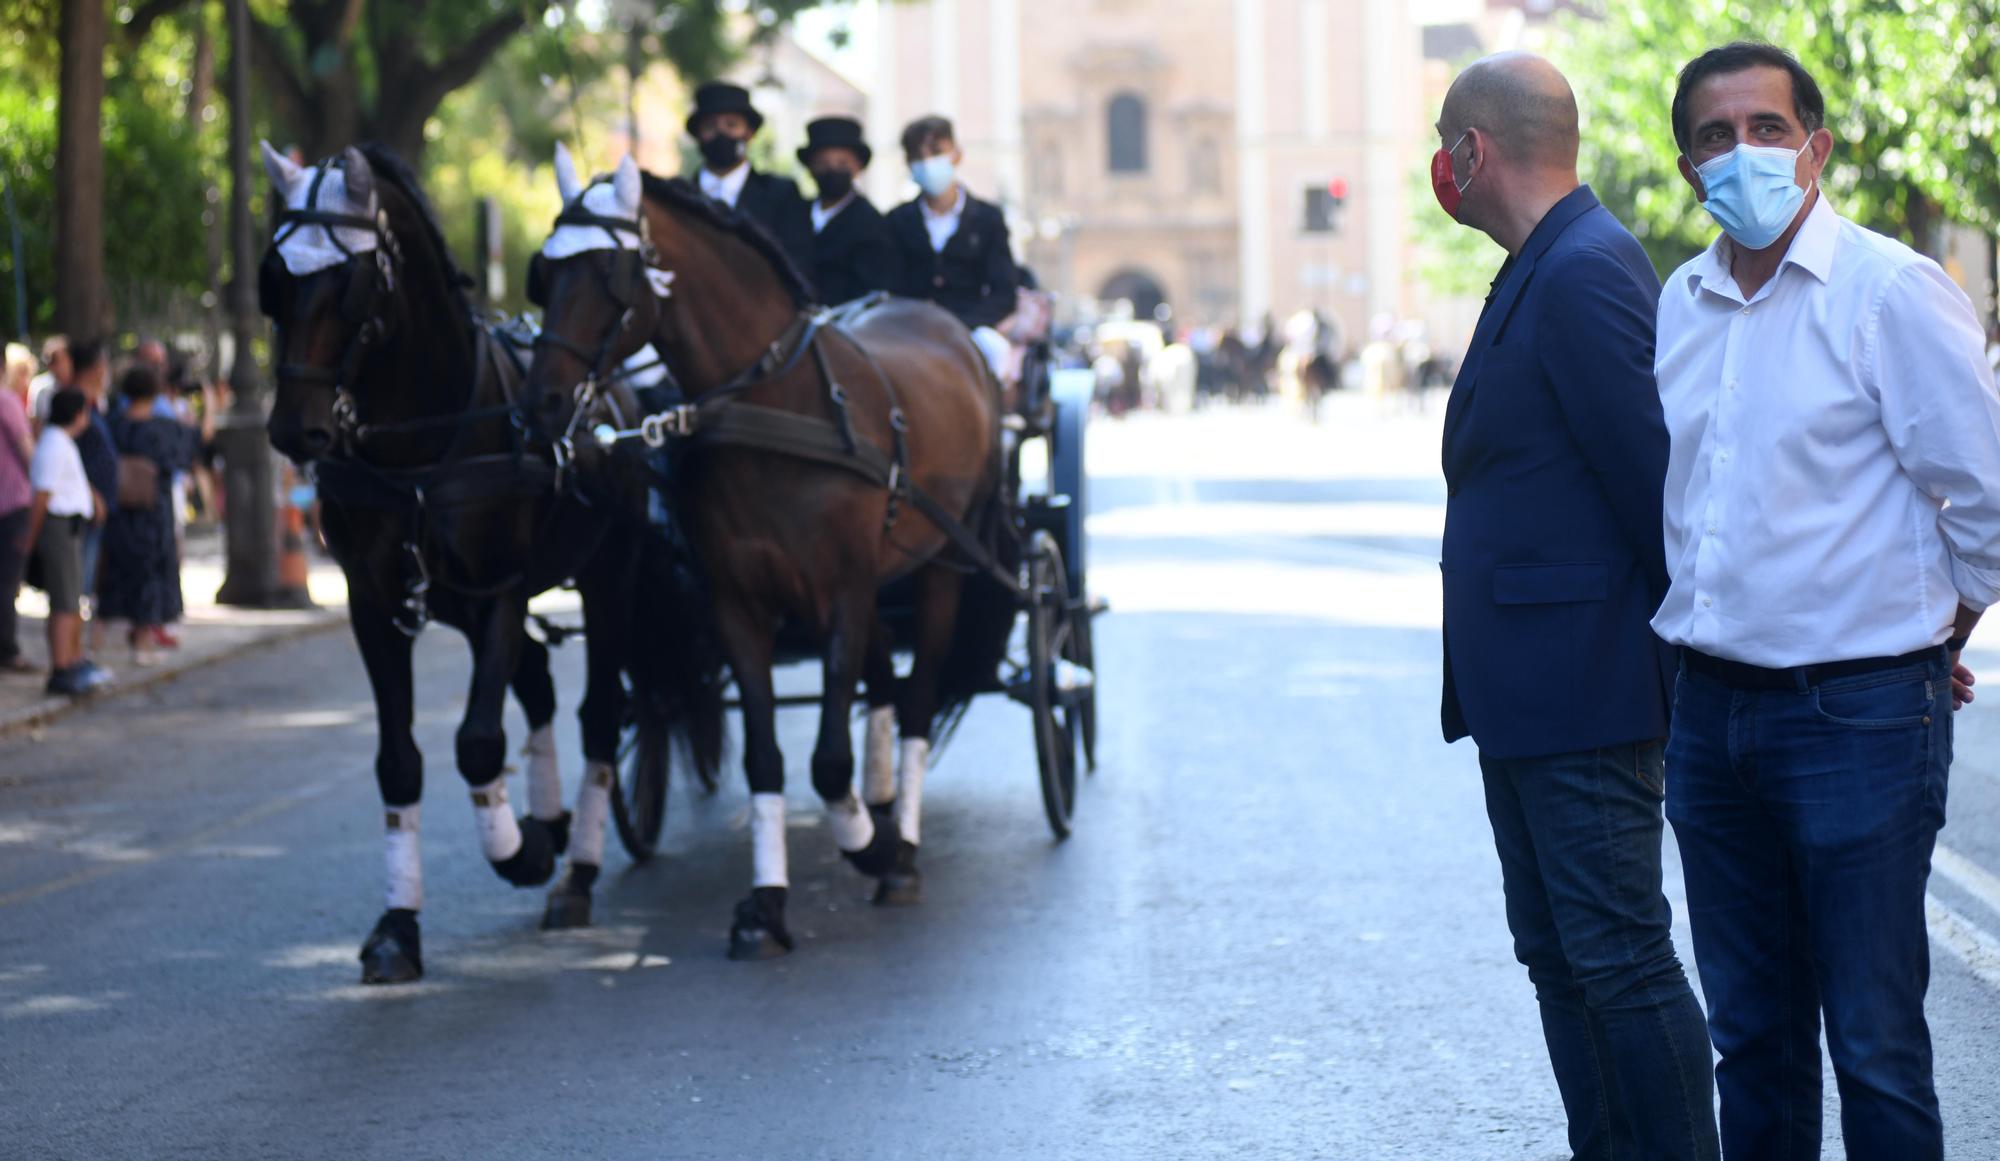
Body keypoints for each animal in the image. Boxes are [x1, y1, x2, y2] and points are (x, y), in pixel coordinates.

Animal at [254, 140, 716, 984]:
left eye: (350, 282)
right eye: (275, 279)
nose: (294, 430)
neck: (421, 440)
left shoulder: (500, 588)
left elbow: (476, 743)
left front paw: (522, 850)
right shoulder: (375, 603)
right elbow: (400, 761)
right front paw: (399, 925)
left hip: (606, 574)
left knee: (599, 711)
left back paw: (576, 865)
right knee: (536, 682)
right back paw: (551, 817)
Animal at [524, 154, 1016, 960]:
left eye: (608, 275)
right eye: (542, 273)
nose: (538, 405)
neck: (771, 403)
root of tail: (946, 324)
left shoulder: (842, 592)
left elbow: (827, 759)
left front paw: (871, 847)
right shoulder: (739, 603)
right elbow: (767, 757)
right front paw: (768, 902)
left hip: (944, 561)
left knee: (915, 698)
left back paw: (902, 845)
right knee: (884, 681)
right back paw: (883, 807)